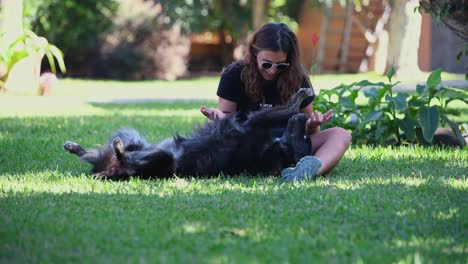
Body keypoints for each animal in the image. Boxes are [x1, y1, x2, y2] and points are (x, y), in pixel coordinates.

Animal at [62, 87, 314, 178]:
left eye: (302, 139)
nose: (305, 119)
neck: (272, 147)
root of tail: (106, 170)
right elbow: (287, 109)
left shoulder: (254, 121)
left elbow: (289, 107)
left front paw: (300, 97)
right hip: (135, 138)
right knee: (93, 154)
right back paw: (75, 147)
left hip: (161, 158)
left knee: (122, 157)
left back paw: (118, 150)